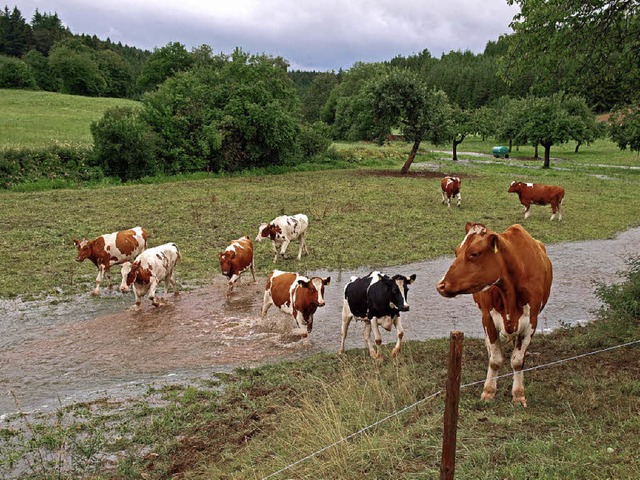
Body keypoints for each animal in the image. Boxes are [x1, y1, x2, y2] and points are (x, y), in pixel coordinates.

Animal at [438, 223, 552, 406]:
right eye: (456, 251)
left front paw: (518, 394)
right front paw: (489, 391)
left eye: (474, 253)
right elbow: (495, 359)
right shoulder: (488, 319)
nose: (441, 285)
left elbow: (518, 361)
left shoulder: (531, 322)